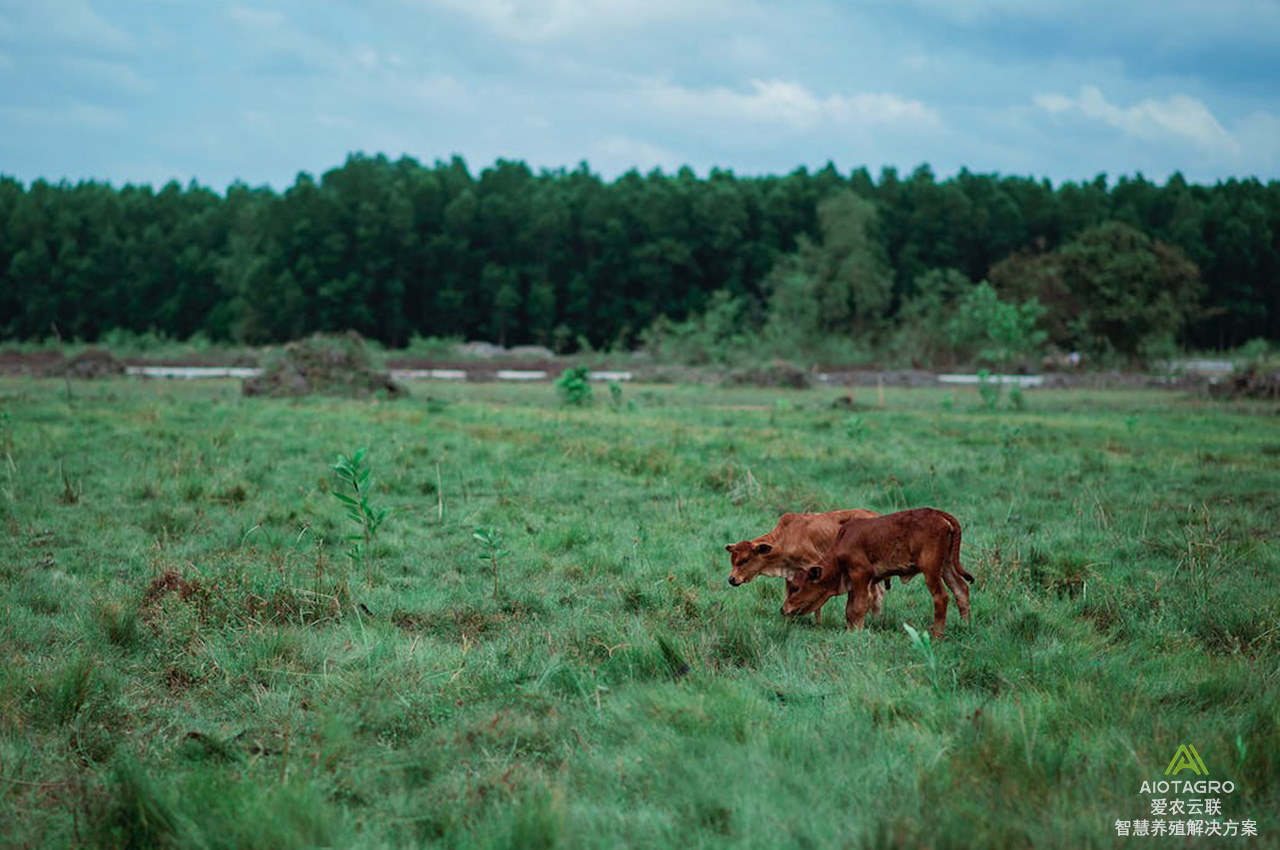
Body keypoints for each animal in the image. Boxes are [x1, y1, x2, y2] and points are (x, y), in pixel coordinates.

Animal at [773, 504, 972, 637]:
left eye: (795, 588)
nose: (783, 609)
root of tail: (938, 514)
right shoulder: (853, 582)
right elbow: (849, 610)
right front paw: (851, 631)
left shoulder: (861, 574)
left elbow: (858, 607)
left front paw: (856, 634)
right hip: (946, 566)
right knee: (961, 589)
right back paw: (965, 626)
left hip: (931, 570)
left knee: (941, 597)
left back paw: (937, 635)